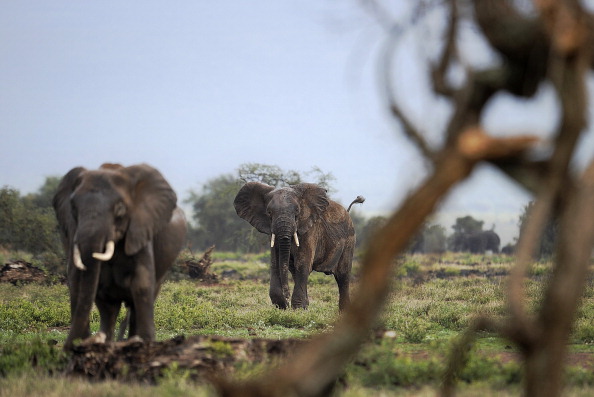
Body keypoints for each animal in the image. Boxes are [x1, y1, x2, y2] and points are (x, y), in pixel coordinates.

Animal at [54, 162, 187, 348]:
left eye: (120, 208)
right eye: (72, 207)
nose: (75, 344)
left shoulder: (141, 230)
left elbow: (141, 283)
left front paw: (145, 343)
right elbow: (86, 286)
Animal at [234, 181, 364, 310]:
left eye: (297, 212)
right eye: (269, 212)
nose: (286, 296)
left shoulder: (310, 230)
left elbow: (302, 264)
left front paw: (297, 309)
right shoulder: (272, 232)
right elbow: (275, 263)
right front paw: (285, 306)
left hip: (350, 240)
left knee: (343, 275)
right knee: (294, 271)